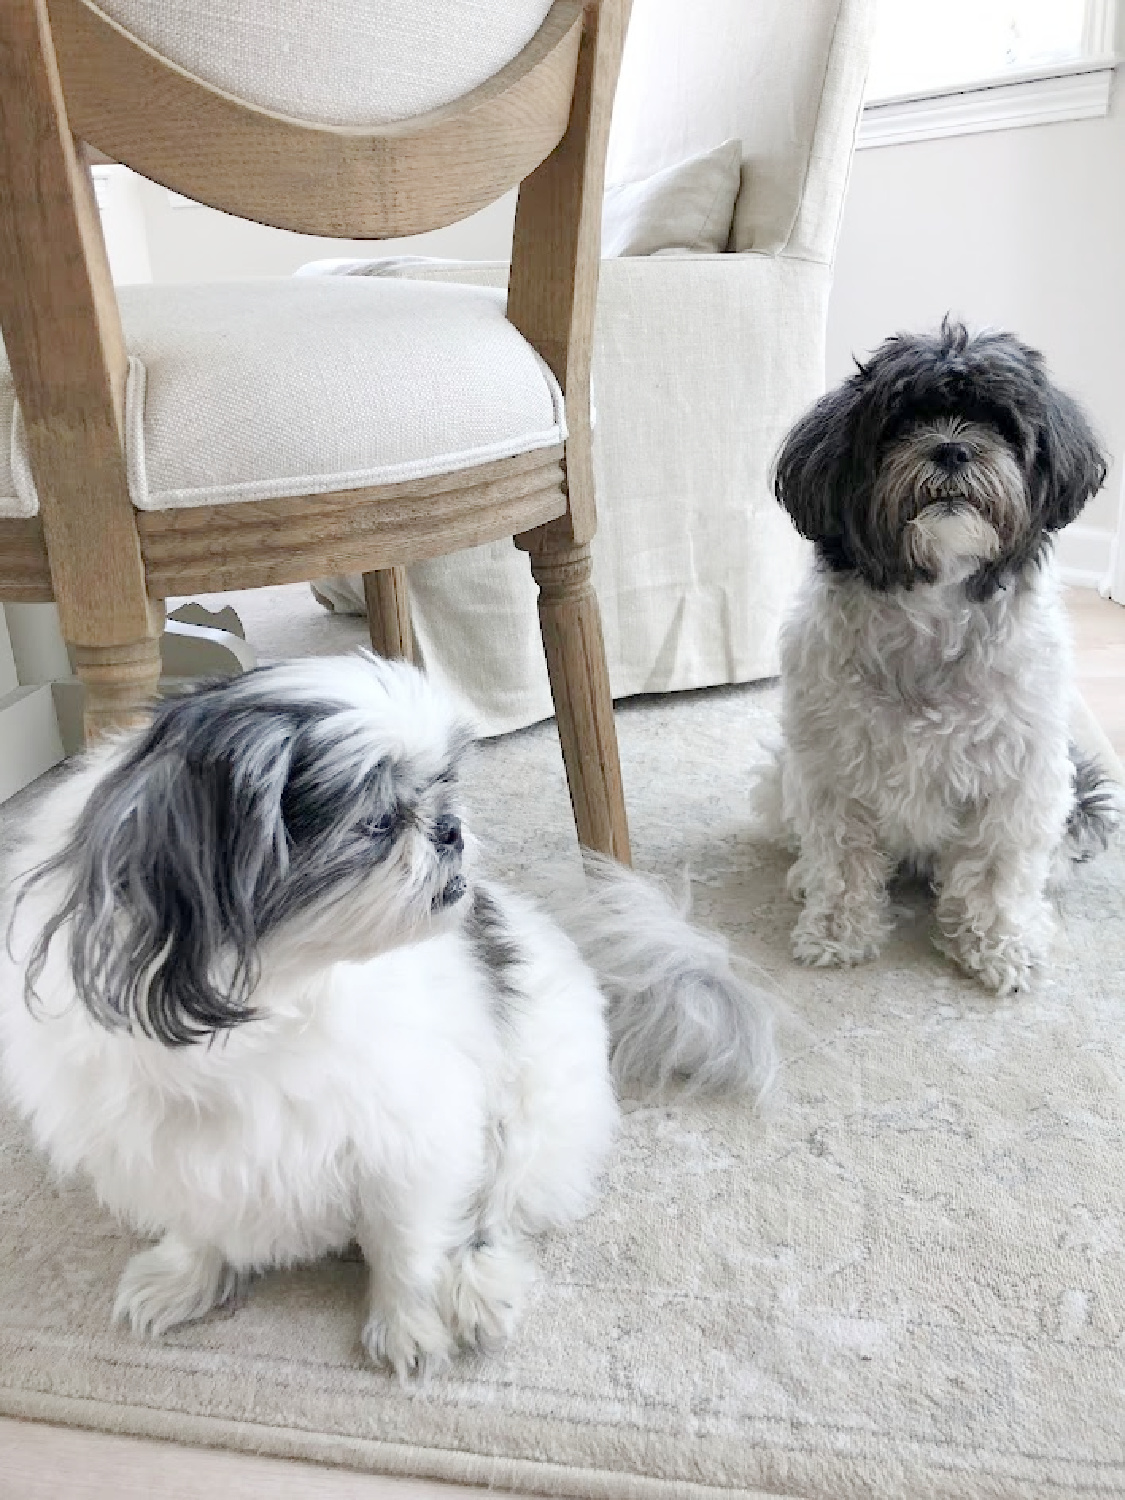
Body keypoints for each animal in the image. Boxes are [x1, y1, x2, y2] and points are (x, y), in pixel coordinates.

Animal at [0, 657, 774, 1374]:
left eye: (441, 786)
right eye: (375, 823)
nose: (450, 828)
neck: (277, 998)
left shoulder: (408, 1136)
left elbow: (406, 1244)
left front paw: (410, 1327)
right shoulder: (163, 1151)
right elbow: (197, 1224)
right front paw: (184, 1279)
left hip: (528, 1117)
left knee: (495, 1211)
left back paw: (475, 1290)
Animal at [762, 321, 1122, 990]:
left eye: (1000, 424)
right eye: (902, 422)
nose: (953, 449)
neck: (933, 610)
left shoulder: (1017, 778)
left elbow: (995, 873)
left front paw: (999, 946)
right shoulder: (830, 769)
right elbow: (842, 859)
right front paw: (836, 932)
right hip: (781, 776)